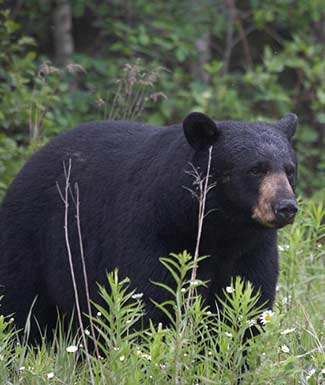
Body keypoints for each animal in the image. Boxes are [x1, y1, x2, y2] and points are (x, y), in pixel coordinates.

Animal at [0, 112, 296, 336]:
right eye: (256, 169)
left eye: (290, 169)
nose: (286, 207)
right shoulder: (152, 232)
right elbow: (150, 305)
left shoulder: (252, 250)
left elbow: (247, 305)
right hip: (29, 241)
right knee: (19, 307)